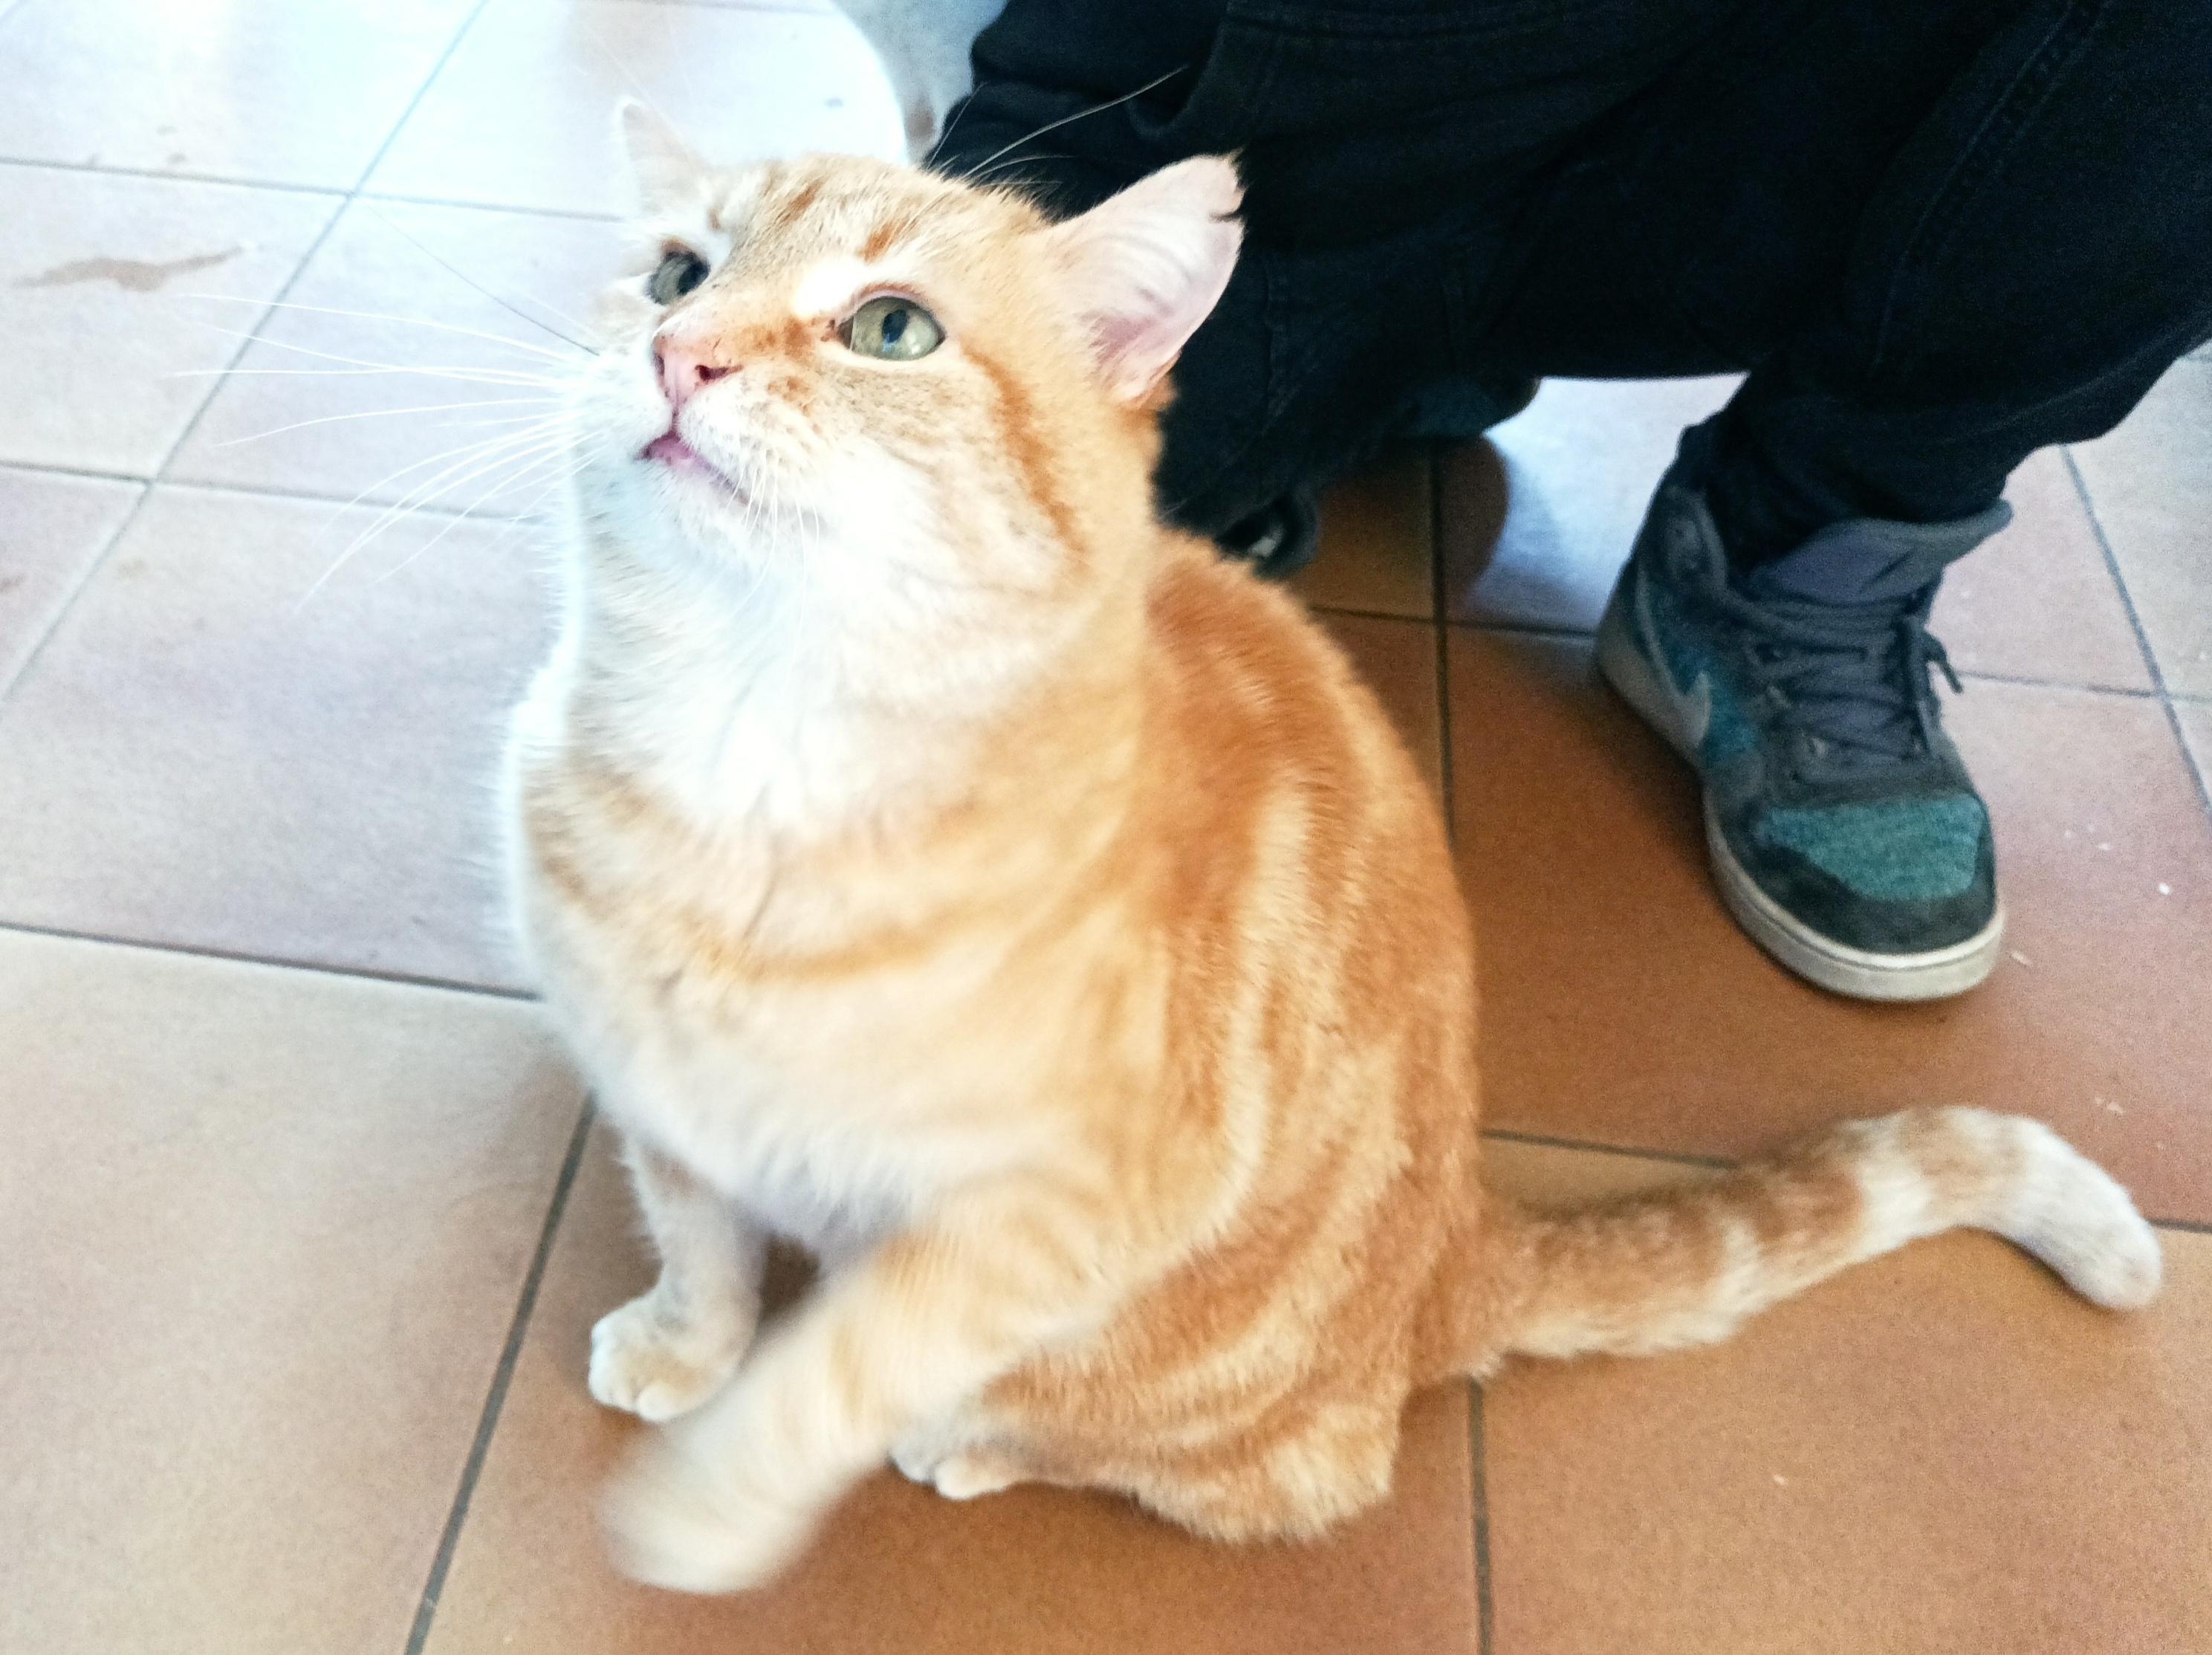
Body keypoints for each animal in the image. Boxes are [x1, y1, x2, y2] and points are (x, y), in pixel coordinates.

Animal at [500, 104, 2162, 1594]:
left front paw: (714, 1495)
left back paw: (977, 1442)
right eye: (675, 273)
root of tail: (1456, 1257)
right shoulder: (664, 1097)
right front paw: (688, 1342)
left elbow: (850, 1359)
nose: (680, 353)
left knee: (1252, 1465)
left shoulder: (1052, 1216)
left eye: (890, 329)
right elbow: (701, 1238)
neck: (744, 754)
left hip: (1218, 1404)